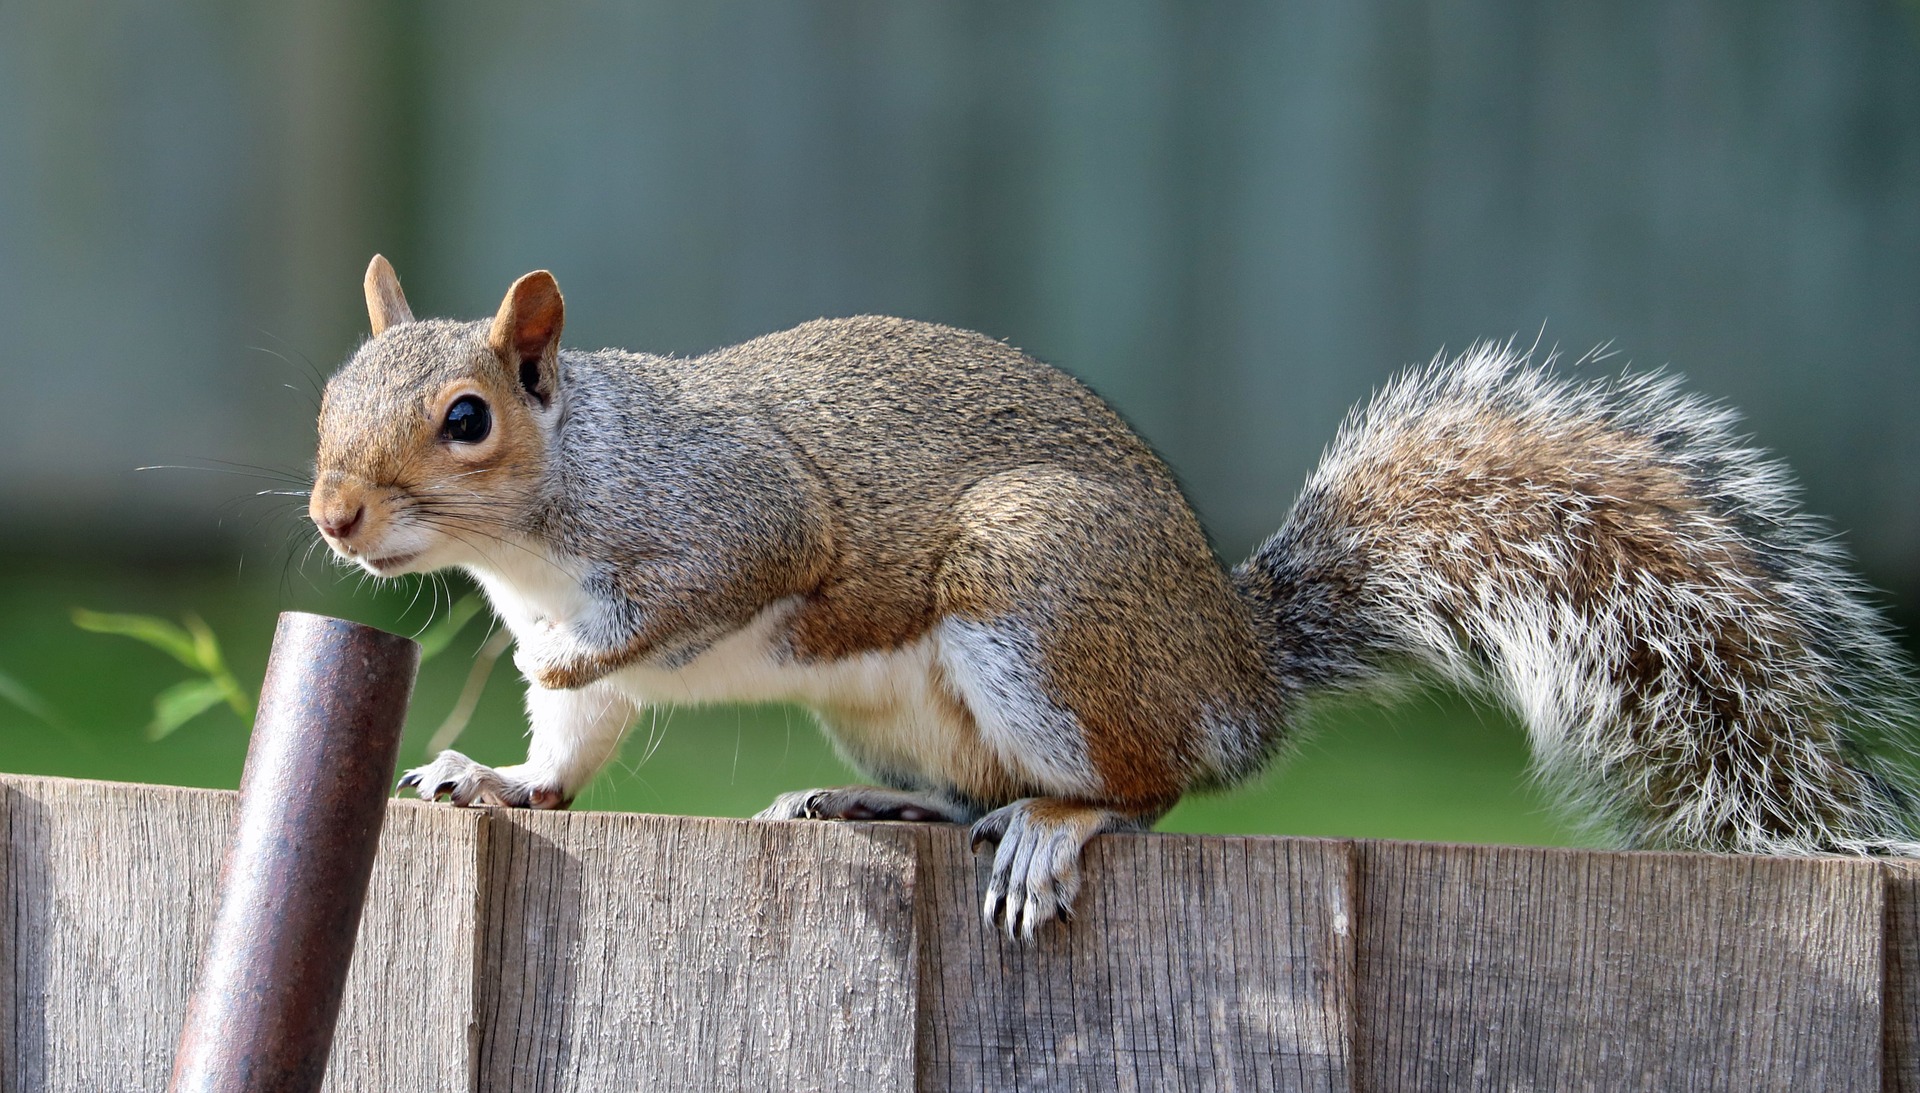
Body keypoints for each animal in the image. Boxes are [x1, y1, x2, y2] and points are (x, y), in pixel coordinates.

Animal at [311, 255, 1920, 937]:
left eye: (467, 419)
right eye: (332, 394)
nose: (334, 517)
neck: (540, 534)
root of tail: (1236, 672)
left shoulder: (745, 519)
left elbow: (713, 596)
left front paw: (590, 665)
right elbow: (564, 759)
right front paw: (492, 775)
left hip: (1040, 599)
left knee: (1143, 790)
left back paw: (1058, 829)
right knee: (972, 789)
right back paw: (885, 805)